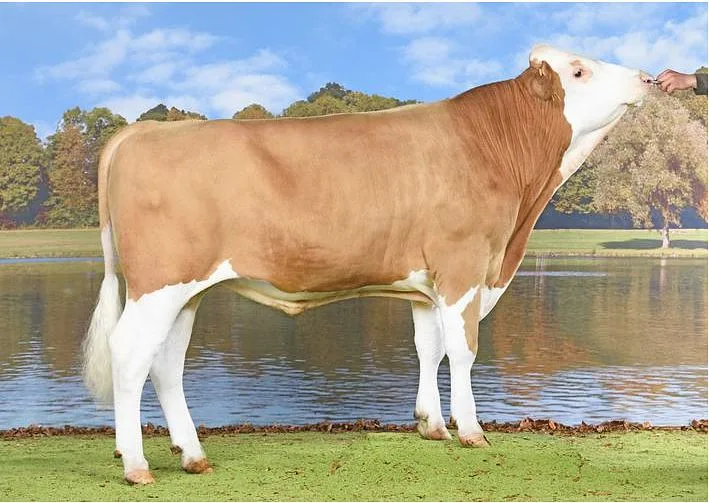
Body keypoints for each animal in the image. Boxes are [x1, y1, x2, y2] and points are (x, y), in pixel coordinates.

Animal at [83, 44, 652, 484]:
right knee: (129, 354)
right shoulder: (464, 266)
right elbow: (463, 351)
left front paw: (431, 425)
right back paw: (136, 465)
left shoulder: (427, 285)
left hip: (187, 292)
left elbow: (429, 349)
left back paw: (193, 455)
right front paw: (470, 431)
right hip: (158, 285)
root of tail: (141, 132)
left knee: (166, 363)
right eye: (578, 71)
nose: (647, 78)